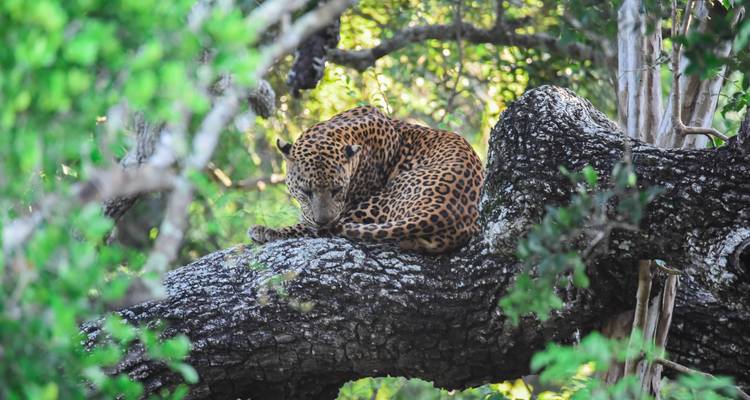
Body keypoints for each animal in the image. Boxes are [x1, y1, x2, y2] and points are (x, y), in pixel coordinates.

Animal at [248, 105, 484, 253]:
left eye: (337, 190)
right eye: (305, 192)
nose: (322, 220)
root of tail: (442, 212)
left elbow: (307, 226)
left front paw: (270, 231)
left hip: (374, 205)